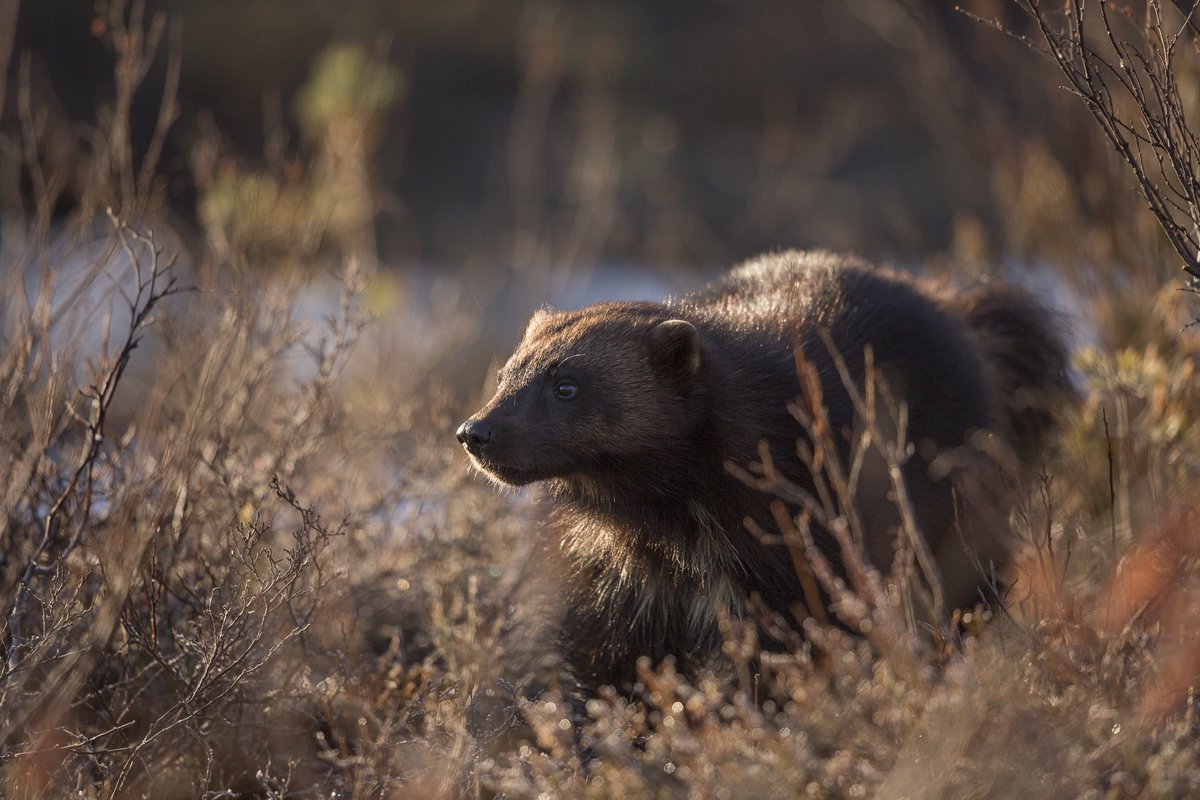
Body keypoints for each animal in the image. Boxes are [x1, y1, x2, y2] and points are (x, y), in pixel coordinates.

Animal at [457, 250, 1071, 694]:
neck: (668, 527)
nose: (476, 431)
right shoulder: (610, 579)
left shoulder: (800, 553)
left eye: (567, 385)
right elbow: (604, 662)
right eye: (508, 373)